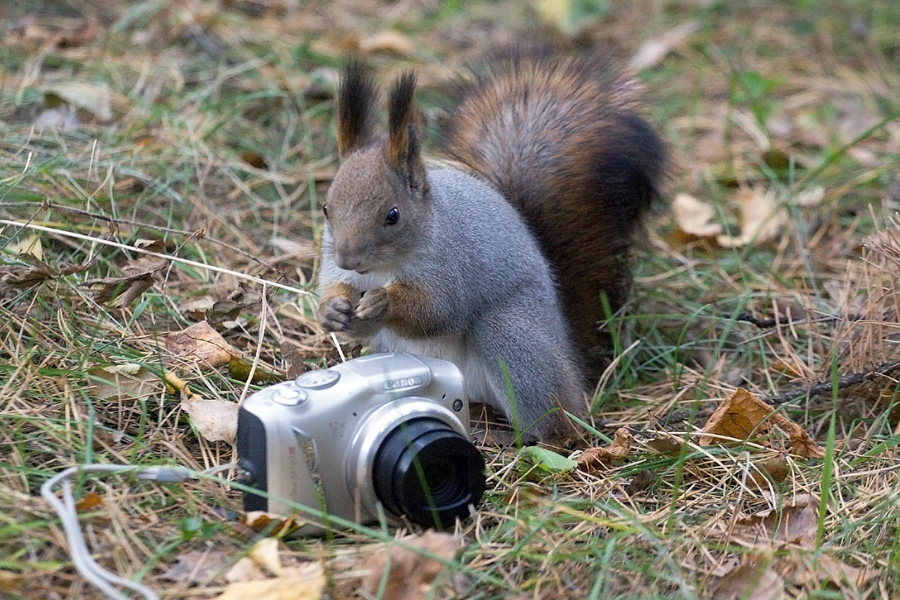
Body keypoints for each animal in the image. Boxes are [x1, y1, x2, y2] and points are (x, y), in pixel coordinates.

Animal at [312, 47, 664, 442]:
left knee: (556, 416)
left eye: (393, 215)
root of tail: (569, 352)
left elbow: (438, 310)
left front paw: (382, 301)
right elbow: (346, 302)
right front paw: (331, 311)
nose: (347, 258)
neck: (383, 268)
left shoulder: (452, 265)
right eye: (326, 208)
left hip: (510, 336)